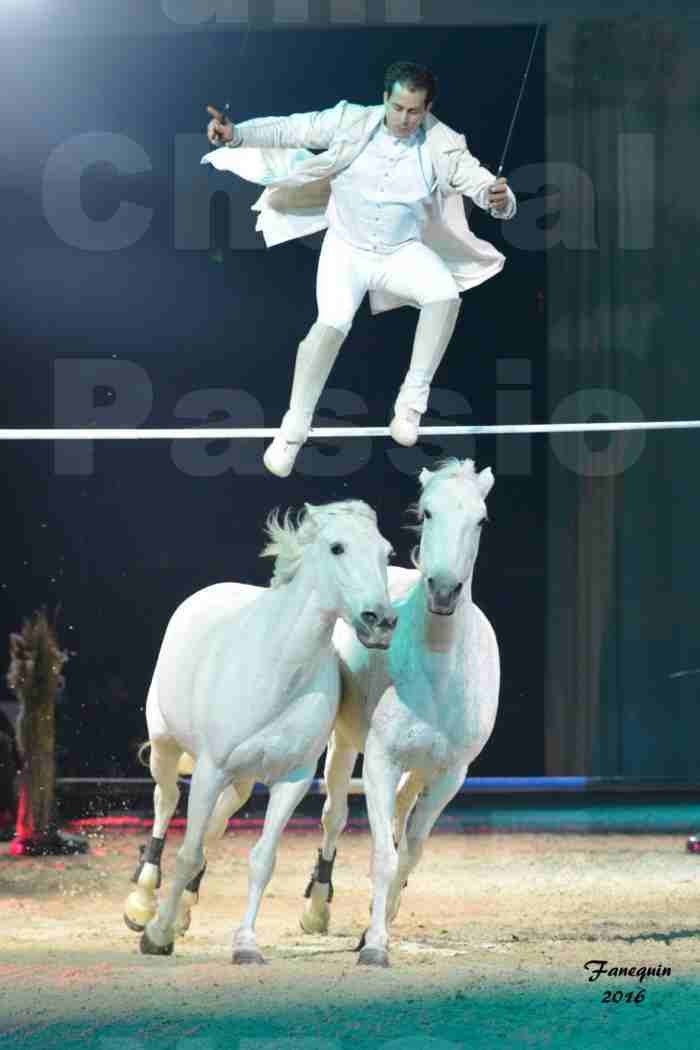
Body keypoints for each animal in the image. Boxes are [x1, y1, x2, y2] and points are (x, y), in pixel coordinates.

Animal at [123, 499, 396, 965]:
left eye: (386, 552)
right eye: (337, 547)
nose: (380, 621)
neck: (278, 671)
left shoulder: (292, 780)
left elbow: (262, 859)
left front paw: (245, 944)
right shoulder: (210, 770)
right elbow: (188, 852)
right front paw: (156, 936)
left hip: (242, 781)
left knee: (214, 824)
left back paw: (181, 914)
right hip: (165, 748)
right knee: (167, 801)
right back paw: (142, 905)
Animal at [302, 459, 497, 965]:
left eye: (481, 519)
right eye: (427, 512)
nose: (444, 590)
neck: (439, 672)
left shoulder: (450, 776)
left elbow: (409, 853)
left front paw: (379, 927)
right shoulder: (380, 762)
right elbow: (383, 855)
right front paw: (373, 945)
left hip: (421, 769)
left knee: (401, 821)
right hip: (343, 745)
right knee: (333, 816)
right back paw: (316, 909)